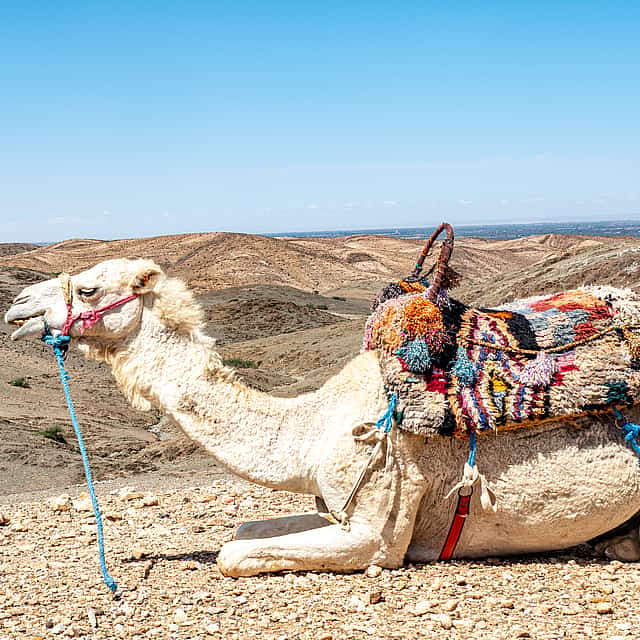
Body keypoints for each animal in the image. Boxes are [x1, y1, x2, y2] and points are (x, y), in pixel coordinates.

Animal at [5, 257, 640, 577]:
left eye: (89, 289)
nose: (17, 308)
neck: (308, 430)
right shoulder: (329, 504)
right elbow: (244, 531)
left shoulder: (375, 529)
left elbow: (233, 554)